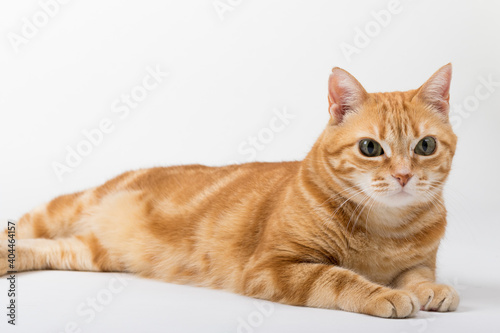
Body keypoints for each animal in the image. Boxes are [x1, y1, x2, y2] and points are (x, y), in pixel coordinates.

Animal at [0, 64, 460, 316]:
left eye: (425, 146)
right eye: (370, 148)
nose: (403, 176)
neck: (384, 228)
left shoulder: (419, 261)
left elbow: (418, 276)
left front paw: (432, 291)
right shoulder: (275, 266)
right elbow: (340, 279)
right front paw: (383, 295)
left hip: (89, 253)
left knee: (38, 249)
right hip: (63, 209)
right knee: (21, 227)